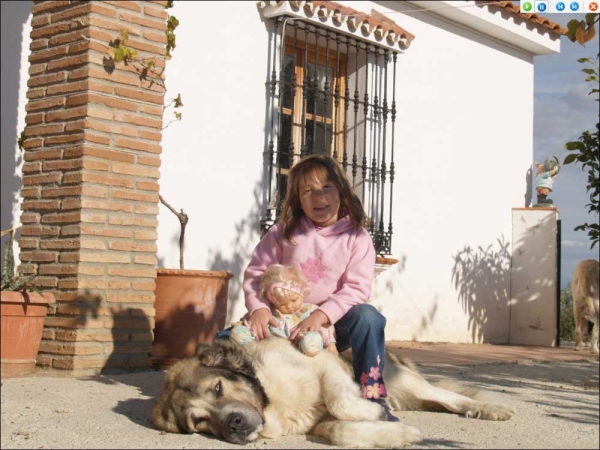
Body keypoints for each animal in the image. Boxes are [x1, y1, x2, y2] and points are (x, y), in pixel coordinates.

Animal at [152, 338, 512, 446]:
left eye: (218, 387)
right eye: (199, 421)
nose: (234, 424)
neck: (273, 404)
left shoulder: (323, 364)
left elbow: (341, 403)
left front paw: (375, 413)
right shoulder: (317, 423)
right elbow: (341, 431)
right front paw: (397, 434)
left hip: (402, 381)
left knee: (449, 397)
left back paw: (490, 409)